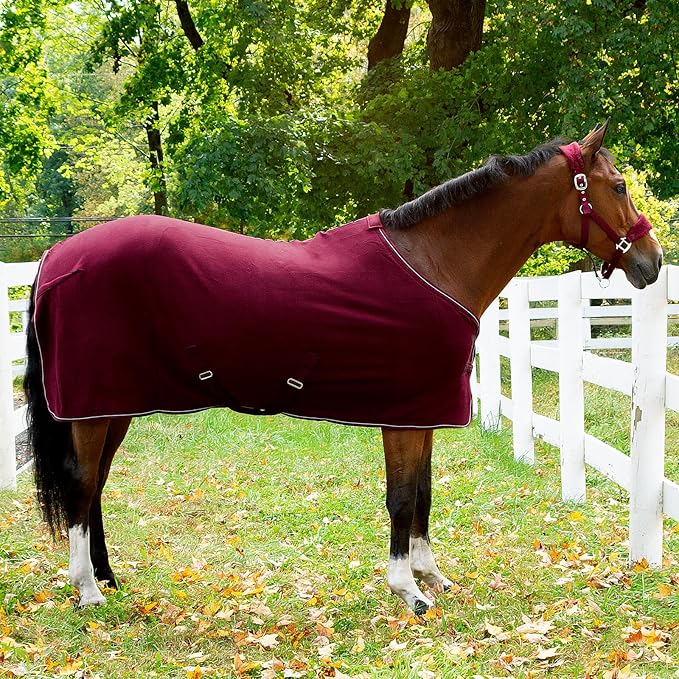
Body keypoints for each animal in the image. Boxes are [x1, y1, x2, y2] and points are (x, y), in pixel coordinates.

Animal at [23, 123, 662, 614]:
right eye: (618, 185)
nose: (651, 262)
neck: (435, 261)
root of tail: (57, 257)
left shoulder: (423, 415)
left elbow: (424, 493)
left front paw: (429, 574)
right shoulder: (403, 417)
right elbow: (402, 497)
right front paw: (407, 590)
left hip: (114, 405)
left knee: (96, 485)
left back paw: (108, 578)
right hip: (93, 407)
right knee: (82, 485)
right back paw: (87, 590)